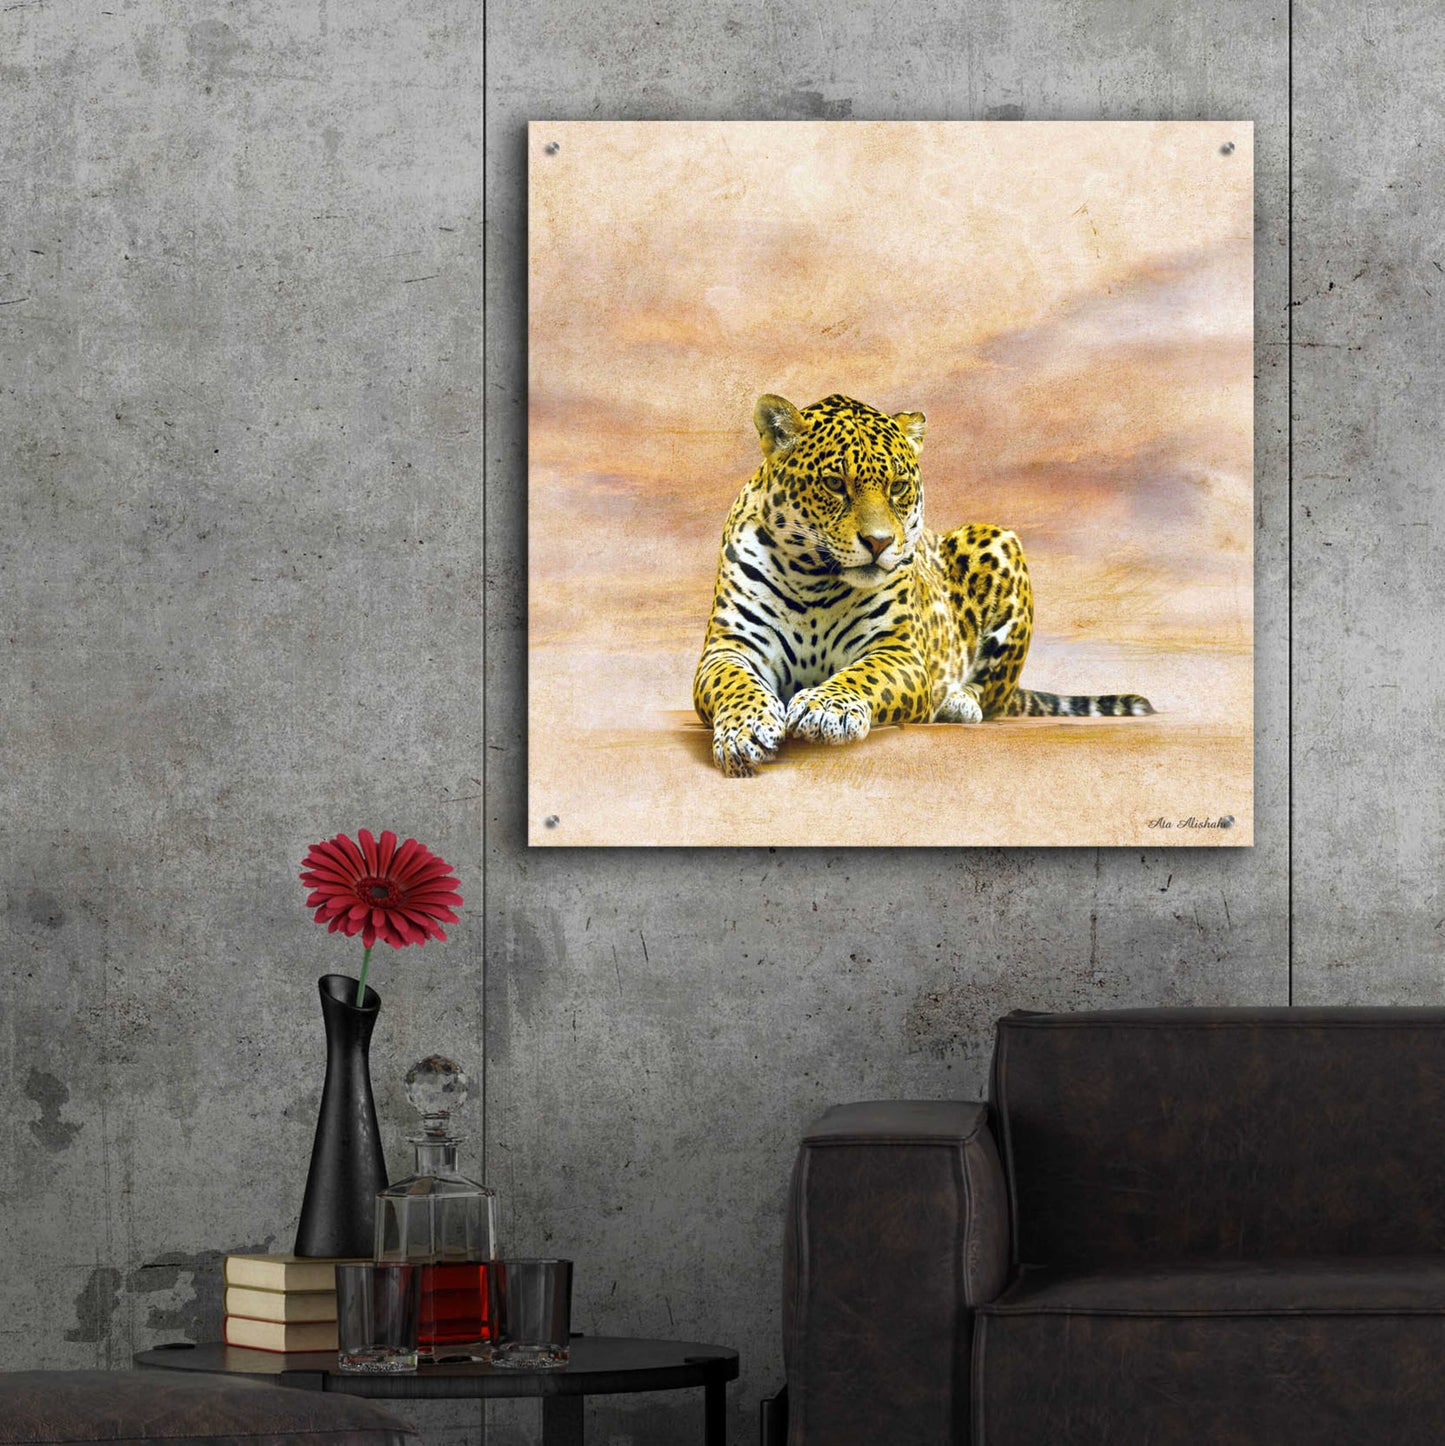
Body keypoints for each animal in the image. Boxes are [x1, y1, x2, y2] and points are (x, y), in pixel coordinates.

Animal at [693, 392, 1154, 778]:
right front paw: (745, 731)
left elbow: (863, 675)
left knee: (993, 694)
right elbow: (734, 684)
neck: (814, 580)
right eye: (835, 484)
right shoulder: (728, 649)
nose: (879, 542)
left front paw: (826, 708)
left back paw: (957, 703)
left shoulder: (900, 653)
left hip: (997, 539)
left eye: (897, 486)